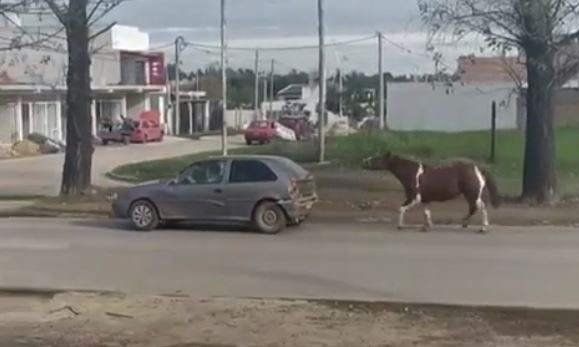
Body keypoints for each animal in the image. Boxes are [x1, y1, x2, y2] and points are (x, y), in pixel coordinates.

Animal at [364, 153, 500, 232]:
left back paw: (483, 228)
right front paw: (427, 226)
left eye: (378, 158)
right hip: (470, 194)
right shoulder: (425, 199)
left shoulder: (414, 197)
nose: (364, 161)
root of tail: (478, 169)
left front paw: (400, 226)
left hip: (473, 193)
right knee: (473, 208)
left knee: (481, 208)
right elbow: (426, 213)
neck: (412, 173)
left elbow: (401, 208)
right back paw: (464, 223)